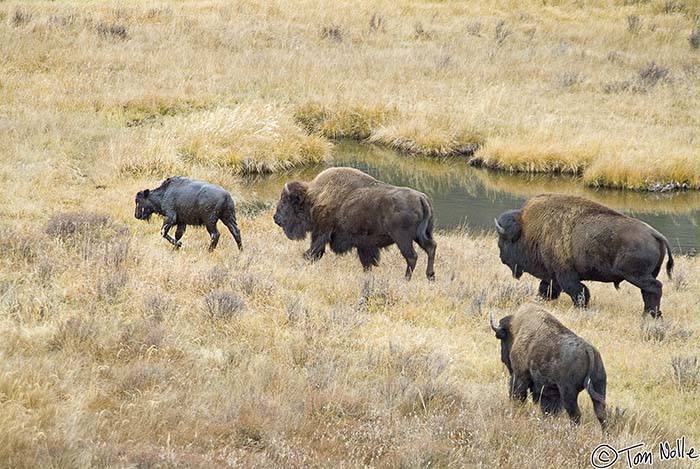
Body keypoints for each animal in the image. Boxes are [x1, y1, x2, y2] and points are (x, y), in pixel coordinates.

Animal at [274, 166, 438, 280]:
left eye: (284, 200)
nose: (276, 218)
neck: (314, 197)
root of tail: (421, 198)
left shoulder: (322, 233)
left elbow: (313, 252)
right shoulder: (364, 245)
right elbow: (367, 262)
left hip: (403, 239)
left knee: (412, 256)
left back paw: (406, 279)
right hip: (421, 235)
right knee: (431, 248)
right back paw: (430, 276)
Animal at [494, 192, 676, 316]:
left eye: (503, 240)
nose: (501, 258)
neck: (528, 229)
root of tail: (655, 234)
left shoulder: (565, 274)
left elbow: (579, 291)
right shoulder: (552, 275)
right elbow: (547, 288)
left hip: (636, 275)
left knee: (655, 288)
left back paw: (650, 315)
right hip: (645, 275)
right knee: (648, 291)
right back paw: (649, 314)